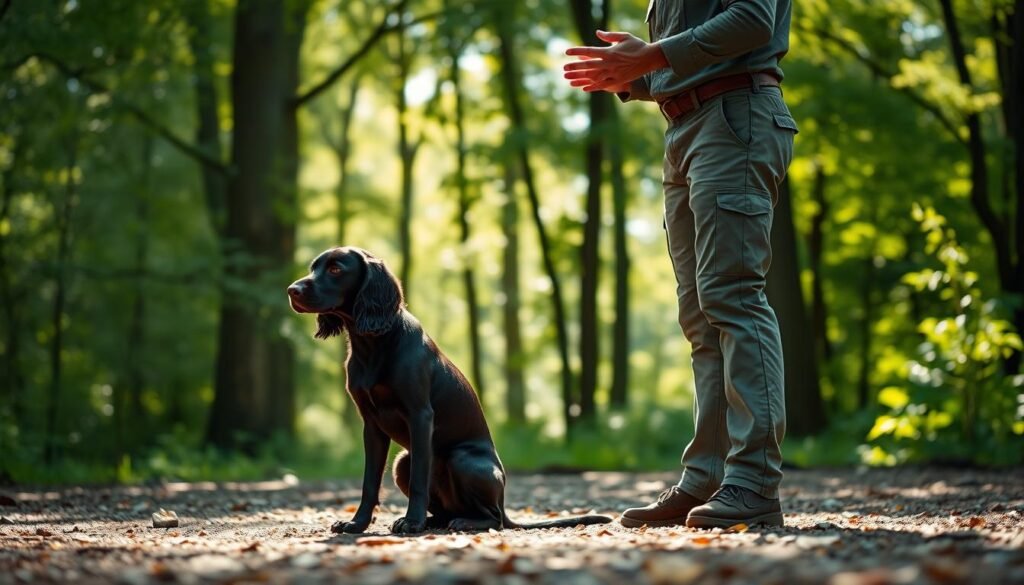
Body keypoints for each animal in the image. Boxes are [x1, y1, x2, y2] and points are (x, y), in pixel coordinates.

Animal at [284, 246, 610, 536]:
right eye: (314, 267)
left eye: (336, 269)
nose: (291, 290)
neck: (374, 343)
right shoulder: (372, 425)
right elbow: (369, 483)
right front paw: (357, 524)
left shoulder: (420, 415)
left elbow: (419, 480)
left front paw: (412, 523)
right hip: (402, 462)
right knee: (445, 511)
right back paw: (432, 521)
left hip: (463, 460)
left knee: (494, 518)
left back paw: (461, 522)